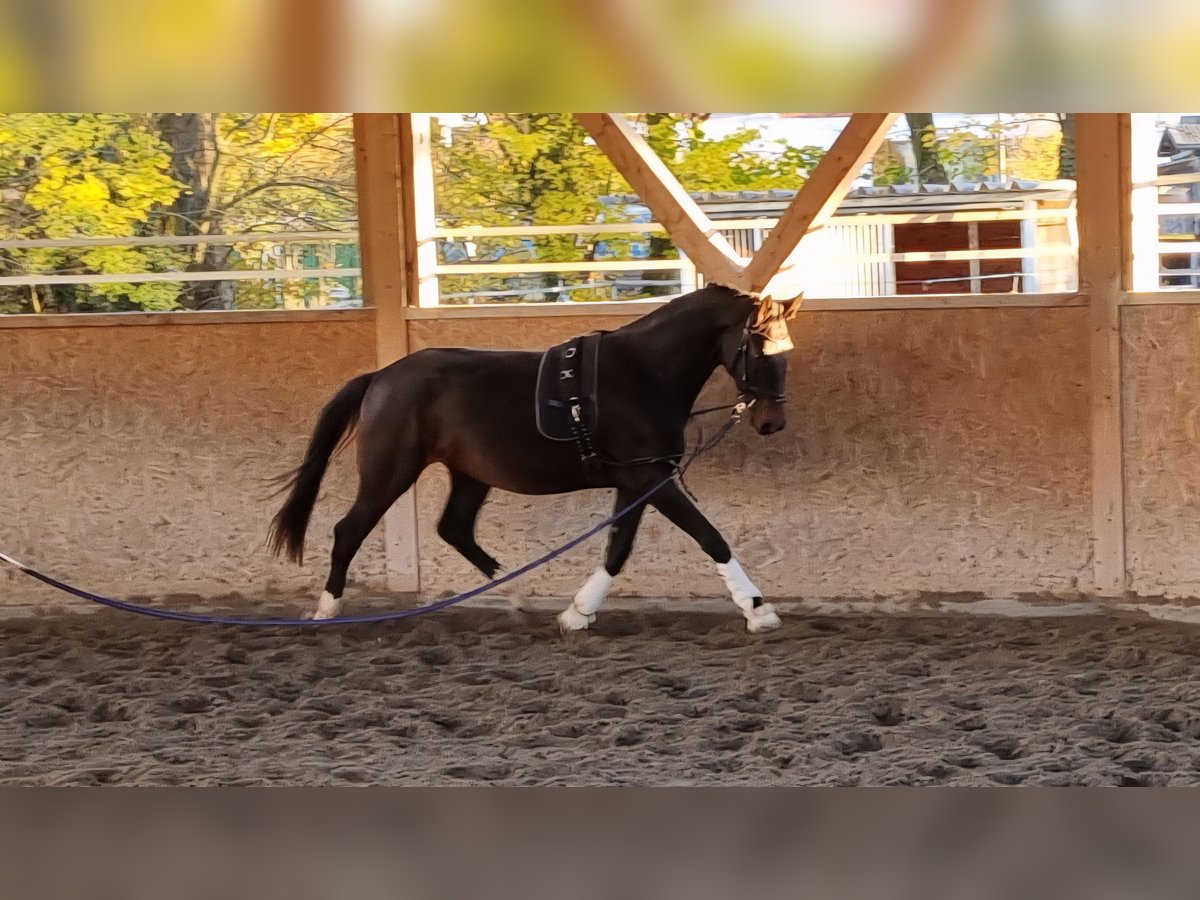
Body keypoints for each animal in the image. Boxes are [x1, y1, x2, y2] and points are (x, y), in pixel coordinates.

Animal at [268, 283, 797, 633]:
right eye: (759, 347)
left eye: (787, 349)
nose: (772, 422)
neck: (643, 372)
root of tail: (381, 377)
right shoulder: (652, 479)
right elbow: (710, 538)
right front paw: (759, 610)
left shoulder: (637, 481)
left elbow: (618, 547)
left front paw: (578, 612)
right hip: (389, 473)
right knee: (348, 531)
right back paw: (326, 610)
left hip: (469, 474)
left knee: (455, 529)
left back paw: (514, 593)